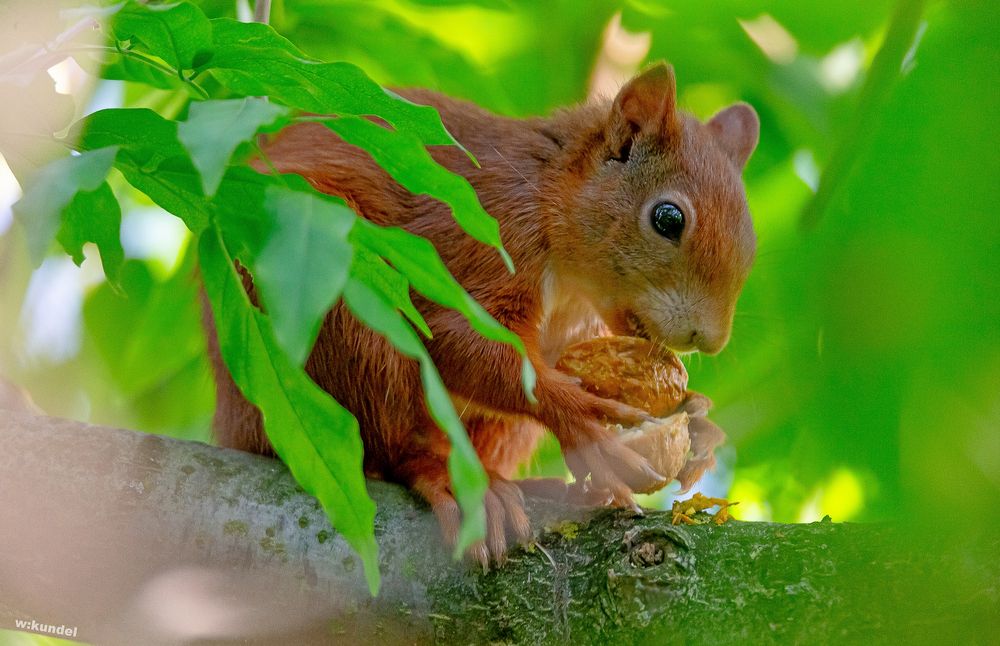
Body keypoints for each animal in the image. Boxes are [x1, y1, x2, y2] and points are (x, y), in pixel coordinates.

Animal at [207, 60, 760, 568]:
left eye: (750, 245)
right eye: (668, 218)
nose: (709, 339)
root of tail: (232, 420)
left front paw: (700, 425)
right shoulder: (488, 229)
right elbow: (453, 337)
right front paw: (582, 419)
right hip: (336, 292)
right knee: (390, 447)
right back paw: (448, 476)